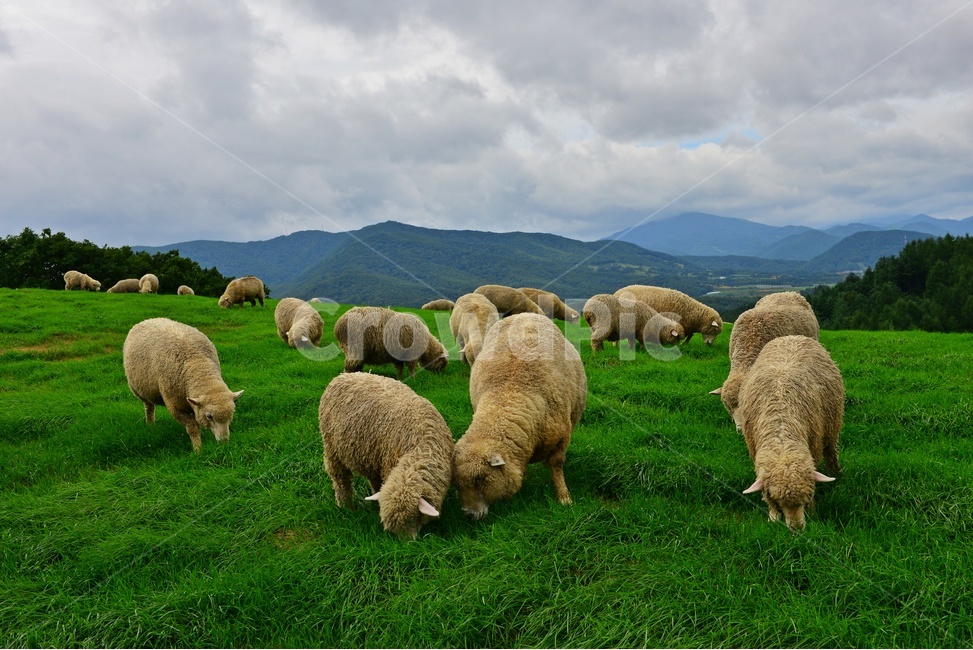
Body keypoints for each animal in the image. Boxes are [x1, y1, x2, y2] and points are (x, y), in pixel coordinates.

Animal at [122, 317, 243, 453]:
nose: (224, 443)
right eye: (209, 416)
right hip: (139, 390)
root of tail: (149, 319)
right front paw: (198, 449)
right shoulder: (176, 407)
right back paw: (150, 424)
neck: (197, 363)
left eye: (231, 414)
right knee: (149, 407)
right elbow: (192, 428)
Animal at [318, 372, 454, 539]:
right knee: (341, 480)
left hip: (372, 456)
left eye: (413, 518)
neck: (419, 450)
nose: (407, 542)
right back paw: (346, 506)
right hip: (332, 450)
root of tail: (342, 375)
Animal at [452, 313, 587, 520]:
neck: (510, 393)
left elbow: (556, 465)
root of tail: (524, 314)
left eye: (480, 479)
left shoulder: (561, 438)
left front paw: (564, 497)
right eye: (456, 485)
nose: (469, 515)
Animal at [737, 335, 843, 532]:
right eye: (778, 501)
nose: (797, 529)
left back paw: (837, 473)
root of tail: (791, 336)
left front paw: (812, 513)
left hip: (833, 425)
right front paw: (773, 517)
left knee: (831, 451)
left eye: (806, 497)